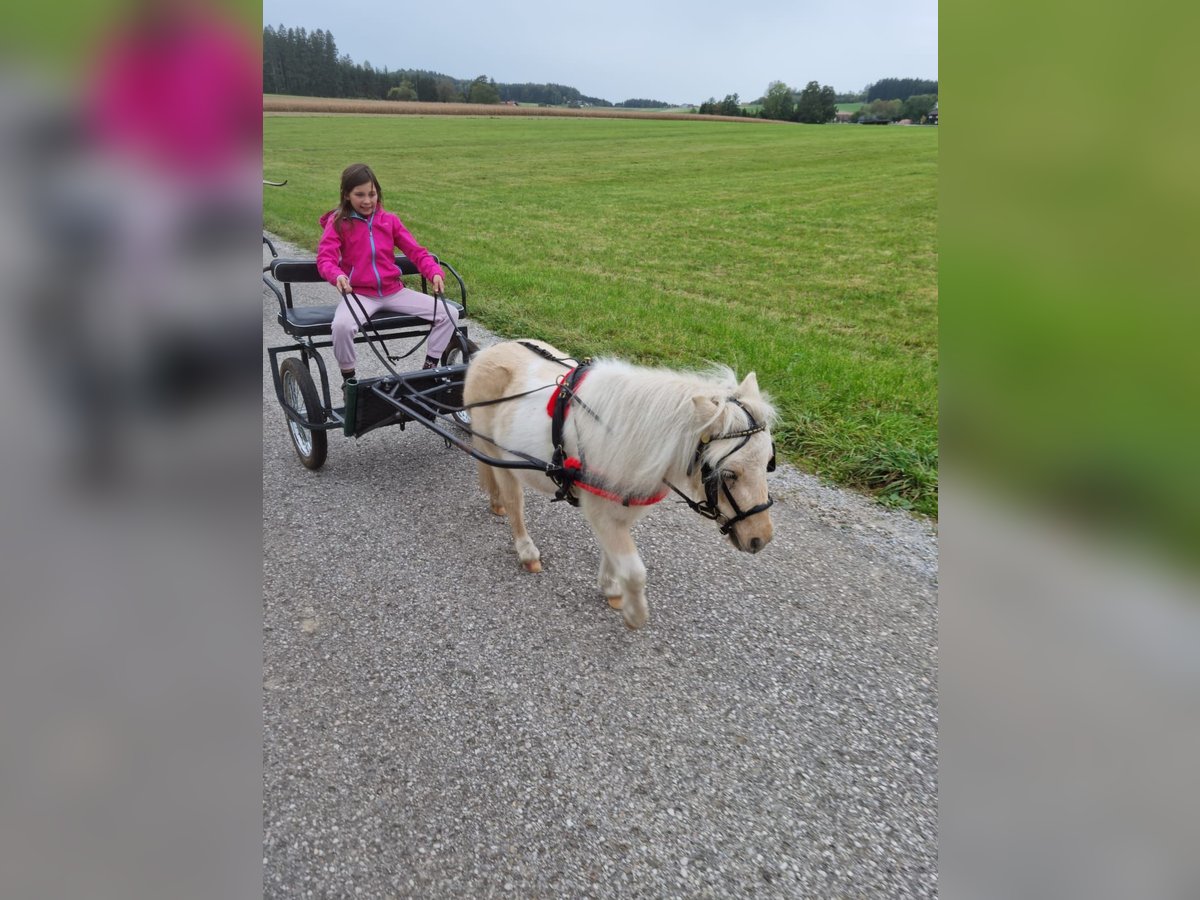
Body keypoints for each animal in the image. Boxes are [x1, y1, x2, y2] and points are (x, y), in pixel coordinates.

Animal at [458, 340, 777, 628]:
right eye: (729, 474)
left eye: (768, 463)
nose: (760, 538)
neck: (635, 437)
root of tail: (485, 353)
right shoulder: (600, 510)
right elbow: (634, 571)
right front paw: (635, 614)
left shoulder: (622, 509)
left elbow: (614, 555)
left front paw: (611, 588)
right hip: (500, 455)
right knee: (515, 503)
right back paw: (526, 551)